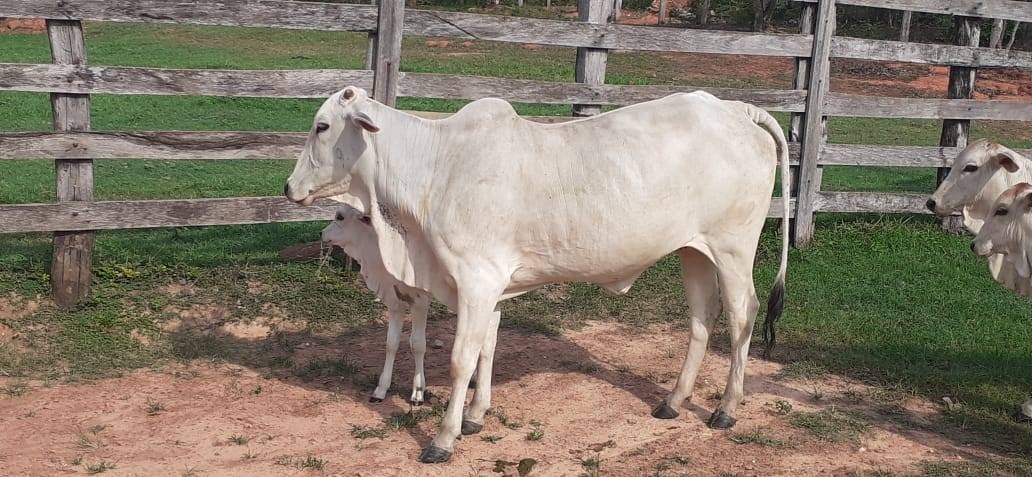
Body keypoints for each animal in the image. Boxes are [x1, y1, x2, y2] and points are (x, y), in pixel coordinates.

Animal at [286, 86, 792, 462]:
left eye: (322, 126)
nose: (289, 188)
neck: (435, 167)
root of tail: (735, 108)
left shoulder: (476, 280)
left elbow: (462, 360)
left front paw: (444, 437)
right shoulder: (489, 288)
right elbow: (487, 351)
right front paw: (475, 416)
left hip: (733, 248)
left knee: (742, 315)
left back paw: (726, 408)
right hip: (694, 250)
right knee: (701, 318)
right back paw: (672, 401)